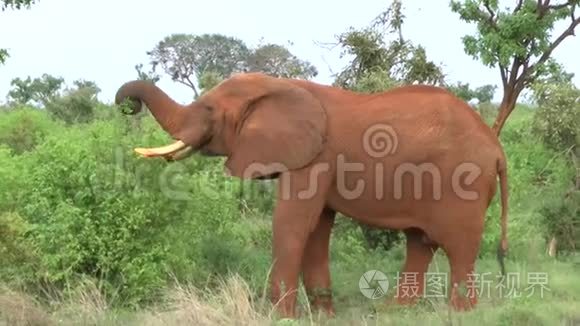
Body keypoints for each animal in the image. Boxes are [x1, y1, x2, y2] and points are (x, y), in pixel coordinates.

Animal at [113, 72, 508, 318]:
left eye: (208, 110)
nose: (127, 105)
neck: (278, 85)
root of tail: (497, 148)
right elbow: (316, 229)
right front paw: (323, 316)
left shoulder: (314, 158)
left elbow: (292, 224)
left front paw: (279, 317)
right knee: (420, 243)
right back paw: (395, 312)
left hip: (463, 183)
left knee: (458, 248)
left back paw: (461, 313)